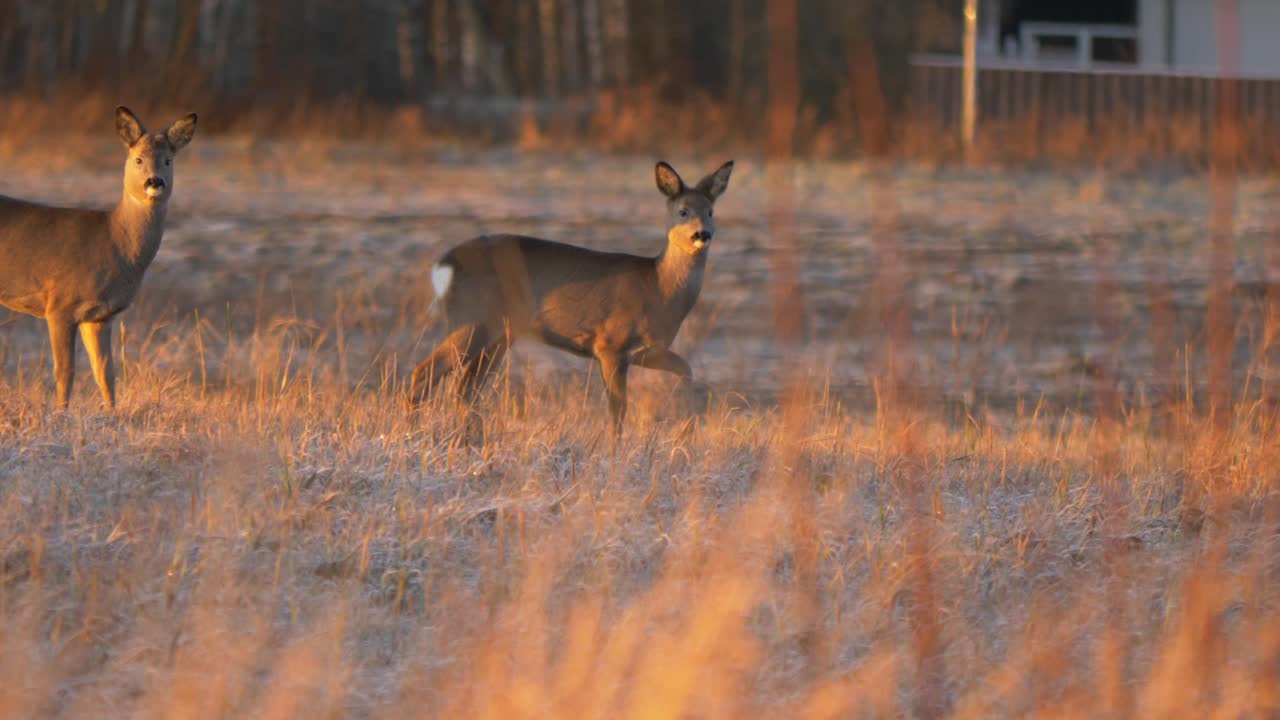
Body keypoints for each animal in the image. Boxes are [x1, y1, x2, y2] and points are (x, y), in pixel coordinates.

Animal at [0, 106, 197, 410]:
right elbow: (65, 371)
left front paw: (112, 413)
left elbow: (106, 372)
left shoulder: (102, 316)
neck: (113, 242)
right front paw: (61, 413)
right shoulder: (60, 305)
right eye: (138, 159)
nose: (154, 182)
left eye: (168, 160)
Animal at [408, 160, 734, 438]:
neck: (658, 288)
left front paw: (687, 431)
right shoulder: (610, 344)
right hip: (472, 320)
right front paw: (615, 454)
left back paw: (470, 441)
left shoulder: (650, 351)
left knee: (466, 389)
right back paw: (417, 434)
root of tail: (444, 264)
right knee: (424, 374)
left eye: (711, 212)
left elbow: (686, 369)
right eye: (683, 211)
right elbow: (618, 410)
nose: (702, 234)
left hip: (499, 335)